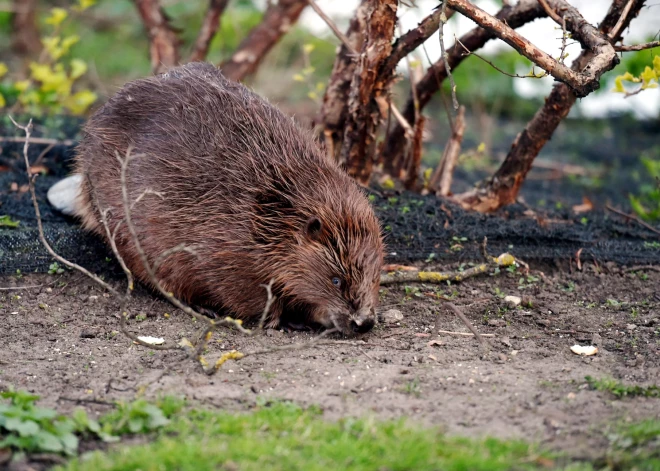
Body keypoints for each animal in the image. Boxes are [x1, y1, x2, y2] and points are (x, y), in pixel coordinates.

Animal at [46, 61, 384, 336]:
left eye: (375, 274)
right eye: (336, 280)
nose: (363, 323)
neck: (274, 205)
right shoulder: (228, 251)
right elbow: (246, 294)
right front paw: (287, 321)